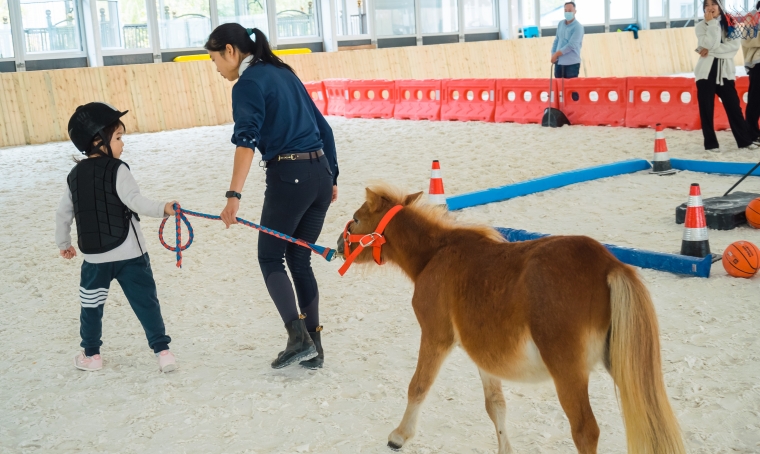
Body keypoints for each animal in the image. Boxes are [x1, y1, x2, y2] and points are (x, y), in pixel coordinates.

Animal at [336, 184, 686, 454]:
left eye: (356, 219)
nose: (339, 245)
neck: (435, 254)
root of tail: (609, 264)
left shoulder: (436, 336)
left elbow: (418, 386)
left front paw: (399, 436)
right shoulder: (482, 354)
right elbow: (496, 406)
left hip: (568, 372)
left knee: (586, 430)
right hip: (620, 362)